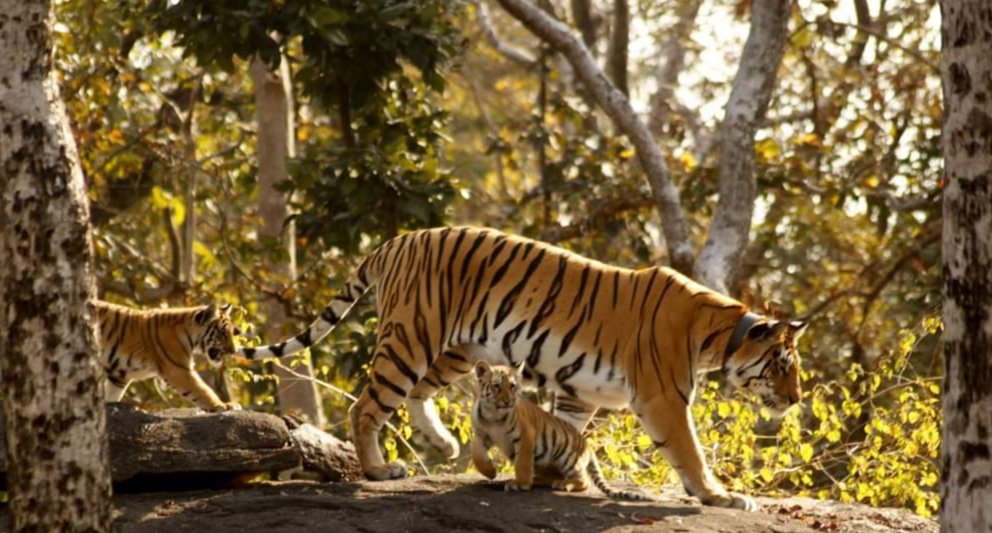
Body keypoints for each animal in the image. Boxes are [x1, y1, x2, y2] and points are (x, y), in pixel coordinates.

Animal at [92, 300, 242, 411]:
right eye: (222, 333)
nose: (233, 351)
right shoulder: (178, 370)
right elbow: (202, 390)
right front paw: (223, 405)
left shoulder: (119, 376)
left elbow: (112, 396)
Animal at [472, 361, 651, 500]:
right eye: (496, 386)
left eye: (512, 386)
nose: (508, 401)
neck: (493, 415)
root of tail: (588, 446)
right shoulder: (481, 435)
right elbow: (477, 456)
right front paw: (490, 472)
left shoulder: (525, 436)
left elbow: (522, 463)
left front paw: (520, 483)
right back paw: (540, 480)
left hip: (568, 458)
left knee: (583, 481)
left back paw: (562, 484)